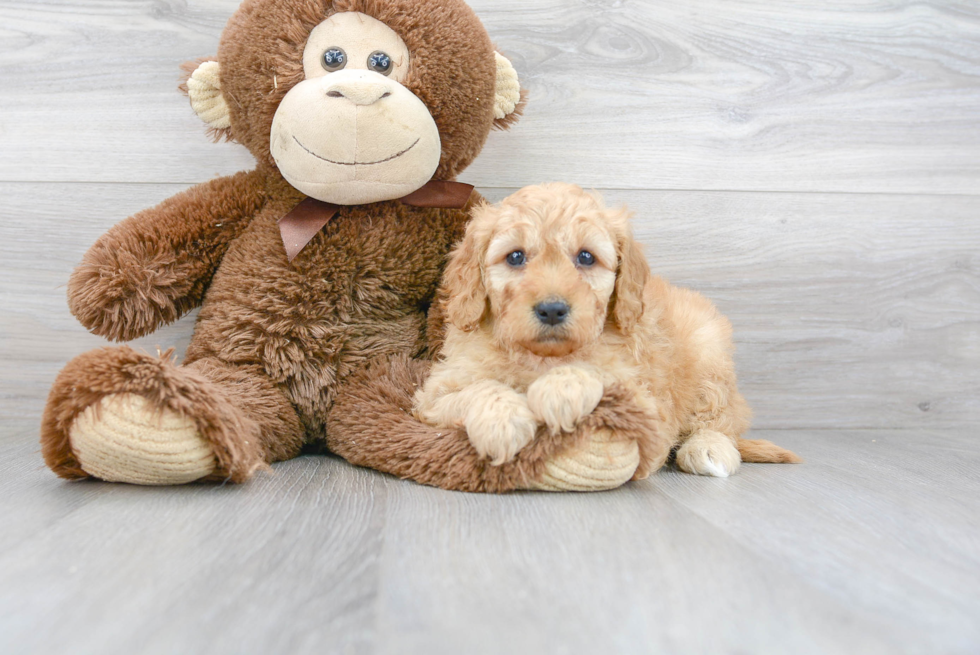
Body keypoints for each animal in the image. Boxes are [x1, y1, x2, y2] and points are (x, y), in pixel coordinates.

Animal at [414, 183, 796, 476]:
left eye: (586, 257)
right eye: (515, 257)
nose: (552, 309)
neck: (541, 357)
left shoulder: (648, 405)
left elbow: (597, 372)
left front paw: (560, 391)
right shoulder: (435, 394)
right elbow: (478, 389)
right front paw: (502, 423)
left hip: (709, 353)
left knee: (720, 419)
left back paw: (709, 449)